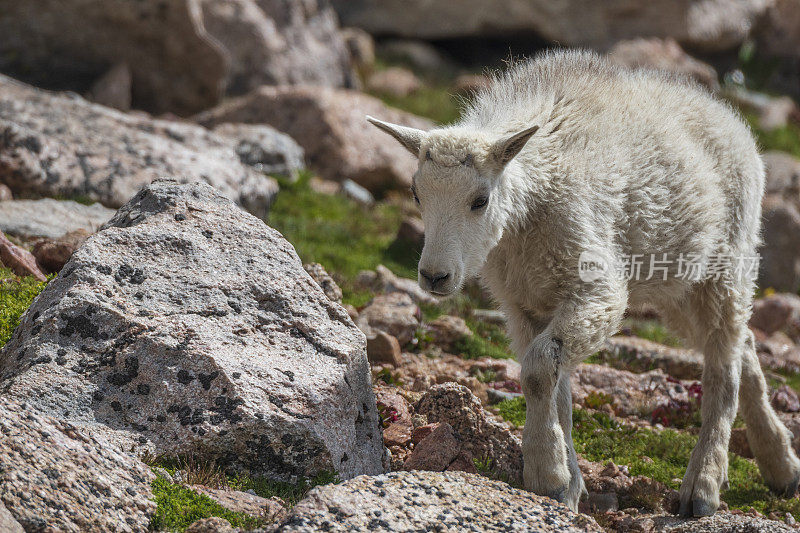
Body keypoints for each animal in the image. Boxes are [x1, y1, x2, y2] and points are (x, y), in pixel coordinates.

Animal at [368, 50, 800, 516]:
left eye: (480, 200)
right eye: (416, 194)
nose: (435, 276)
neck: (529, 208)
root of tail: (731, 120)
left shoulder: (595, 289)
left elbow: (539, 370)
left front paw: (548, 475)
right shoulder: (525, 305)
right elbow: (556, 388)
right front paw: (568, 484)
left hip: (726, 263)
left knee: (724, 367)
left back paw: (702, 487)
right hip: (680, 283)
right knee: (744, 343)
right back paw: (781, 466)